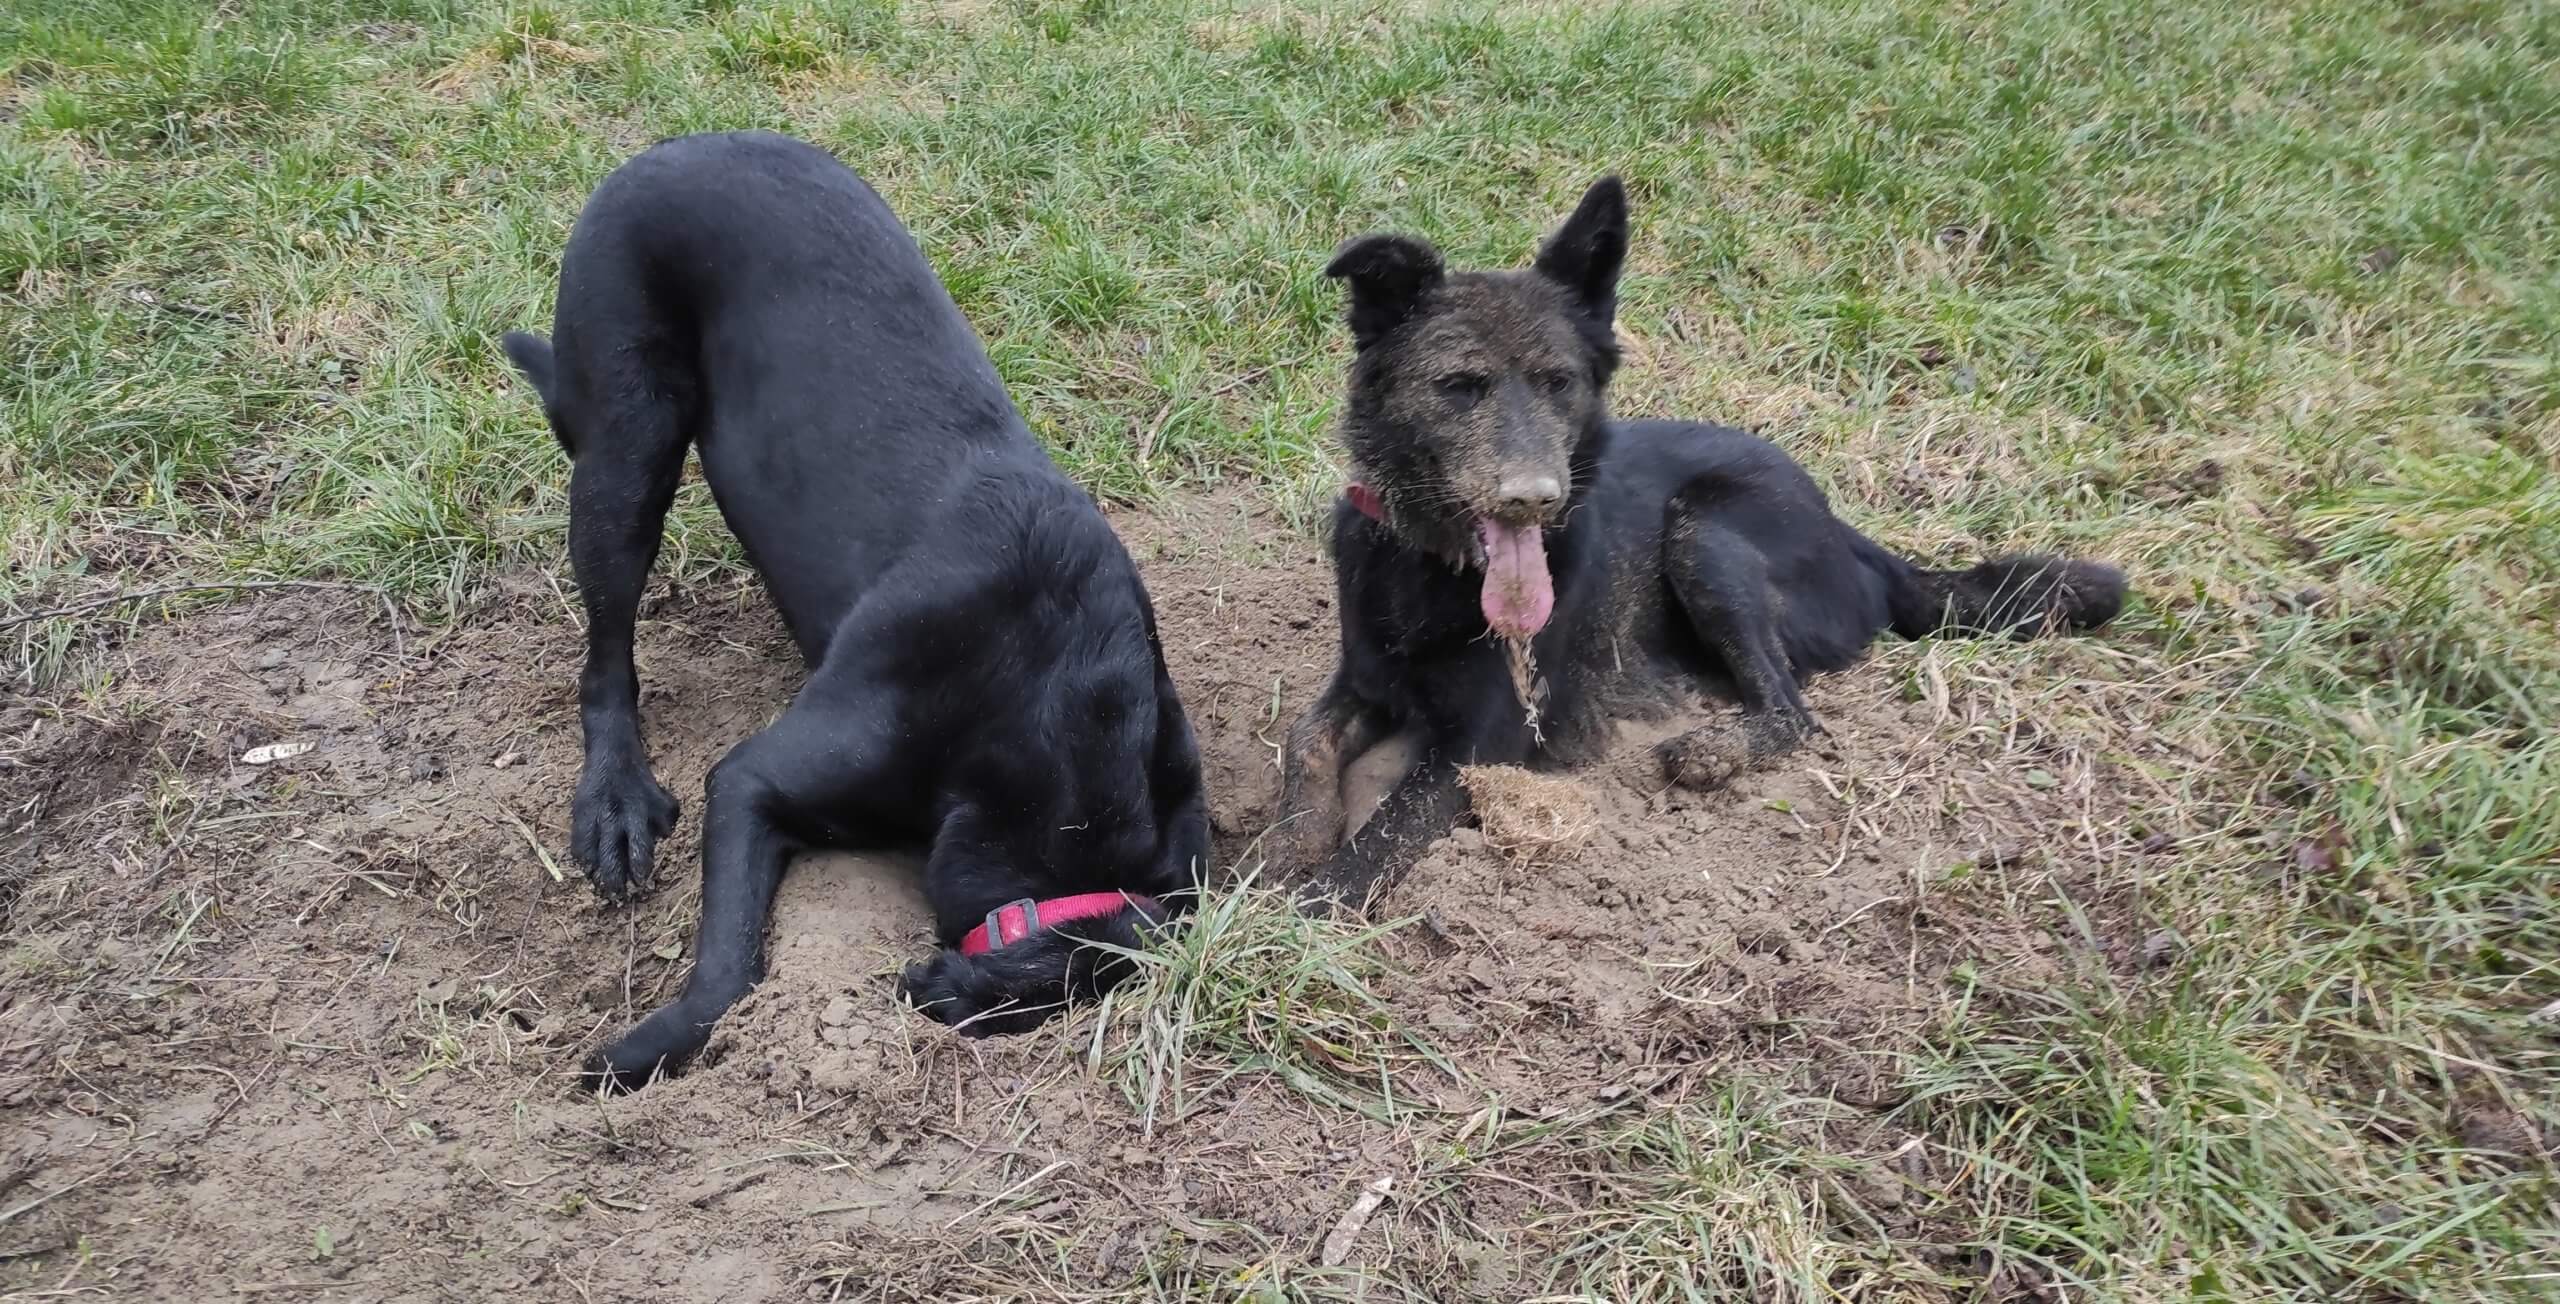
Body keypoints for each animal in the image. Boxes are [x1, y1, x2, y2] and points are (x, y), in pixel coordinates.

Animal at [512, 131, 1218, 1086]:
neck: (1066, 722)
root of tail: (681, 144)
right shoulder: (752, 779)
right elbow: (729, 969)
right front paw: (640, 1053)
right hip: (628, 446)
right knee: (606, 655)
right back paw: (613, 803)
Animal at [1269, 175, 2129, 906]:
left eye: (1558, 383)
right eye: (1459, 387)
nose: (1536, 498)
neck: (1432, 568)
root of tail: (1849, 532)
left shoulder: (1487, 739)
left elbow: (1387, 831)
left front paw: (1302, 907)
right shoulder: (1365, 679)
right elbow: (1304, 738)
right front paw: (1293, 841)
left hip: (1705, 534)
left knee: (1792, 710)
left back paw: (1710, 747)